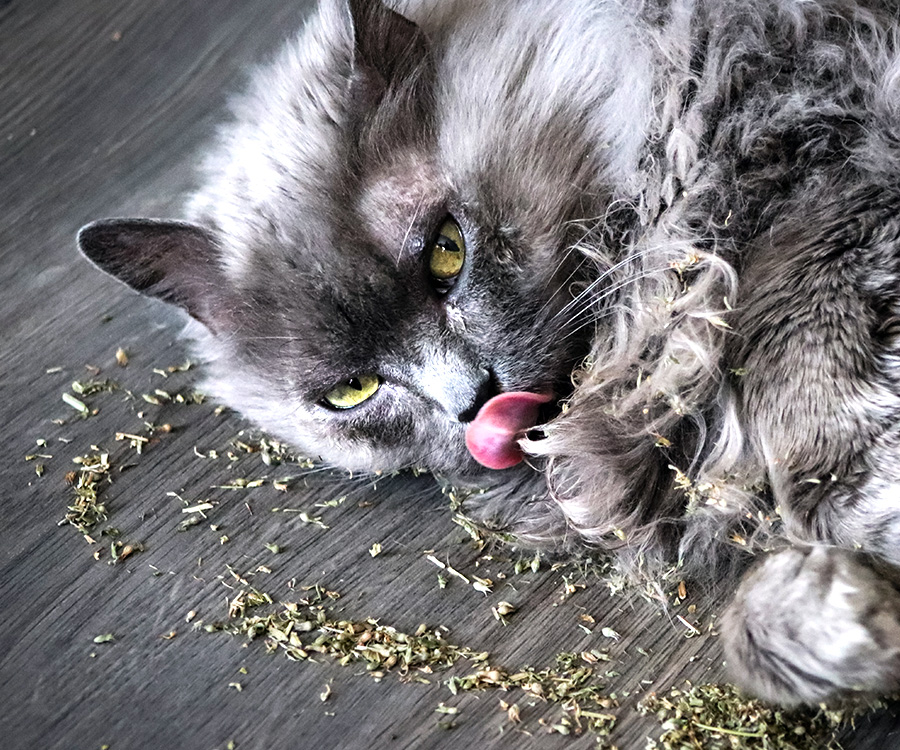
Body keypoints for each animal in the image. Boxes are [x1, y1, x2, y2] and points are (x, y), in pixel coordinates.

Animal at [77, 0, 900, 712]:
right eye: (354, 392)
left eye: (447, 252)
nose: (476, 399)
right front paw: (839, 622)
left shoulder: (841, 195)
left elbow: (808, 399)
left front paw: (847, 538)